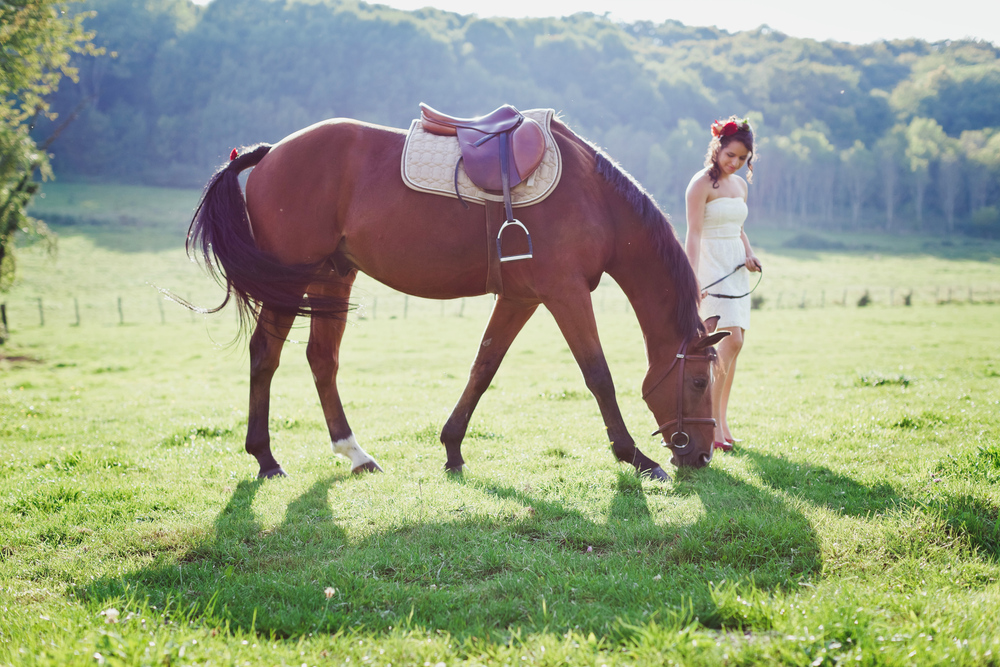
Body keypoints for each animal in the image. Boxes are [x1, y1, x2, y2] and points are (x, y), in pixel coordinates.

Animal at [186, 112, 728, 482]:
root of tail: (271, 152)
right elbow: (598, 375)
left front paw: (451, 448)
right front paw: (637, 458)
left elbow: (483, 367)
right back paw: (266, 458)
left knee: (321, 358)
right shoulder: (565, 293)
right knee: (265, 355)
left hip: (331, 277)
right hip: (291, 281)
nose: (702, 454)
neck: (595, 198)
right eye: (700, 381)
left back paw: (355, 453)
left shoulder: (522, 298)